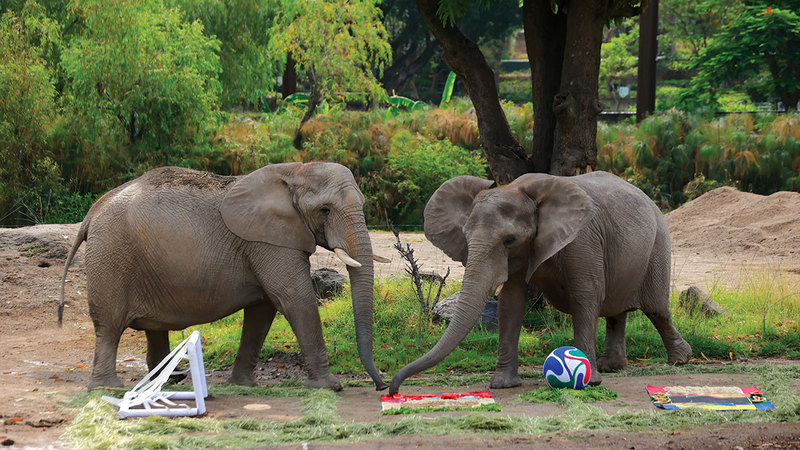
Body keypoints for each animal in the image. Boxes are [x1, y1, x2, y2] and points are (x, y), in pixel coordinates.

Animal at [58, 162, 388, 391]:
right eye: (325, 210)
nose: (382, 385)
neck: (295, 170)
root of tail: (93, 212)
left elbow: (263, 309)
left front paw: (243, 385)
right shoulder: (268, 242)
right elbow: (294, 298)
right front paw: (330, 386)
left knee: (153, 329)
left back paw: (166, 383)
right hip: (112, 258)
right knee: (109, 326)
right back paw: (108, 388)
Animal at [389, 171, 692, 394]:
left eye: (509, 239)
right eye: (465, 236)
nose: (393, 389)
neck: (521, 189)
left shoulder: (582, 239)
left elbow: (586, 296)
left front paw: (588, 383)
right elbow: (511, 302)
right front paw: (503, 385)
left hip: (658, 243)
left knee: (656, 308)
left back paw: (680, 359)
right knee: (617, 311)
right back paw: (612, 368)